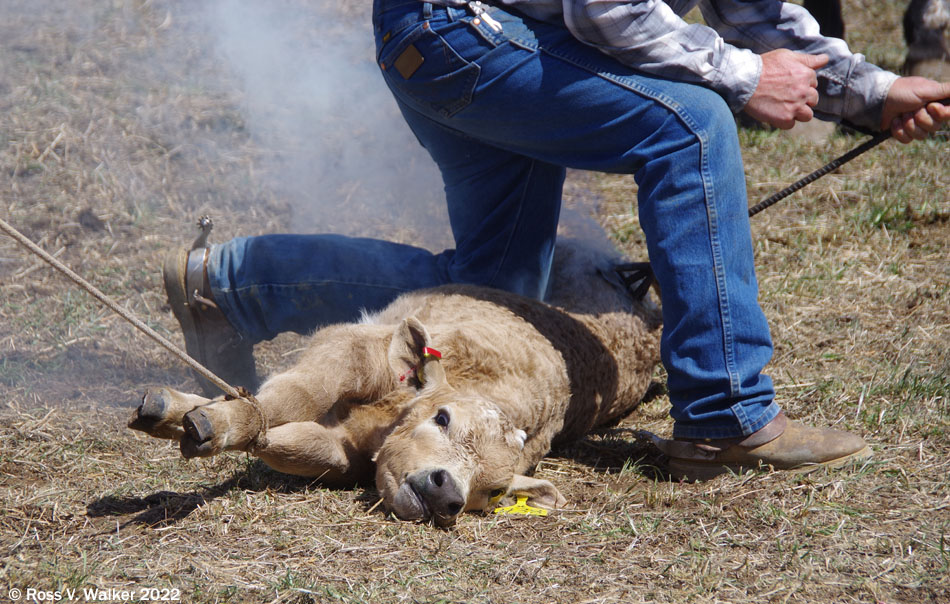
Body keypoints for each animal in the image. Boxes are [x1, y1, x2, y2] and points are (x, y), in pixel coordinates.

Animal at [130, 243, 660, 528]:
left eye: (493, 491)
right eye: (442, 417)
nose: (446, 494)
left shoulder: (342, 452)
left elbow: (293, 443)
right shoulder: (355, 348)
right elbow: (296, 394)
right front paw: (206, 417)